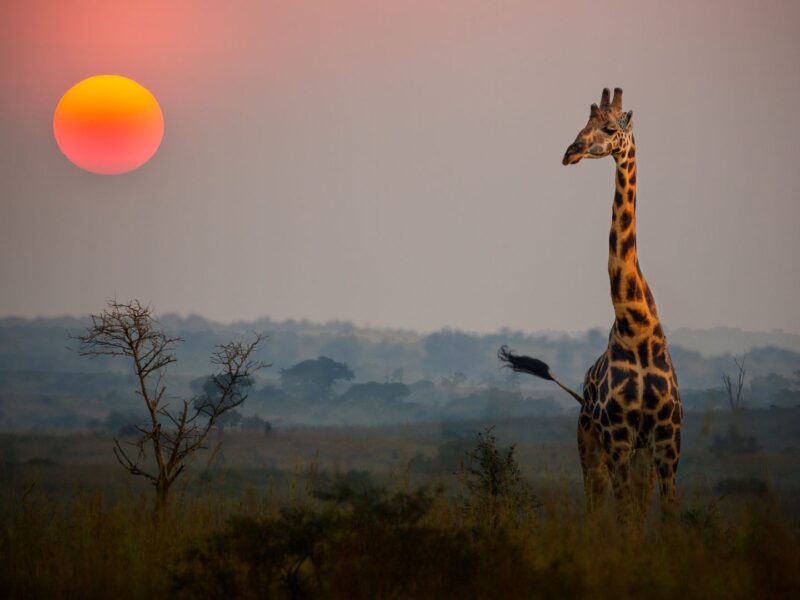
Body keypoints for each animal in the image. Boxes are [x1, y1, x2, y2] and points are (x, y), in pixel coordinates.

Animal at [500, 86, 680, 524]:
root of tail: (580, 392)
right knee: (596, 513)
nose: (570, 151)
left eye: (610, 128)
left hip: (640, 456)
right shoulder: (616, 439)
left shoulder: (667, 442)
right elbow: (626, 521)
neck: (637, 327)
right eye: (583, 123)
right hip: (591, 447)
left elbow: (669, 521)